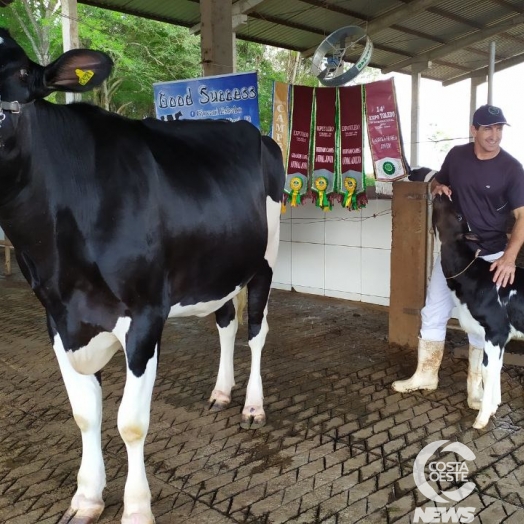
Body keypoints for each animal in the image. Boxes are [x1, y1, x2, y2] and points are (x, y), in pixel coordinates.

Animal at [0, 29, 284, 524]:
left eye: (19, 75)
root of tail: (247, 128)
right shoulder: (56, 317)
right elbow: (85, 413)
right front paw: (87, 497)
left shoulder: (146, 314)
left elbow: (130, 423)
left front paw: (136, 509)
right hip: (219, 268)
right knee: (226, 323)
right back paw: (222, 391)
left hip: (265, 261)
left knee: (256, 330)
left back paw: (252, 404)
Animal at [432, 195, 520, 430]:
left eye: (459, 215)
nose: (442, 194)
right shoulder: (496, 335)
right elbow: (494, 367)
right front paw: (494, 404)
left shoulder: (496, 330)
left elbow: (488, 369)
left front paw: (482, 417)